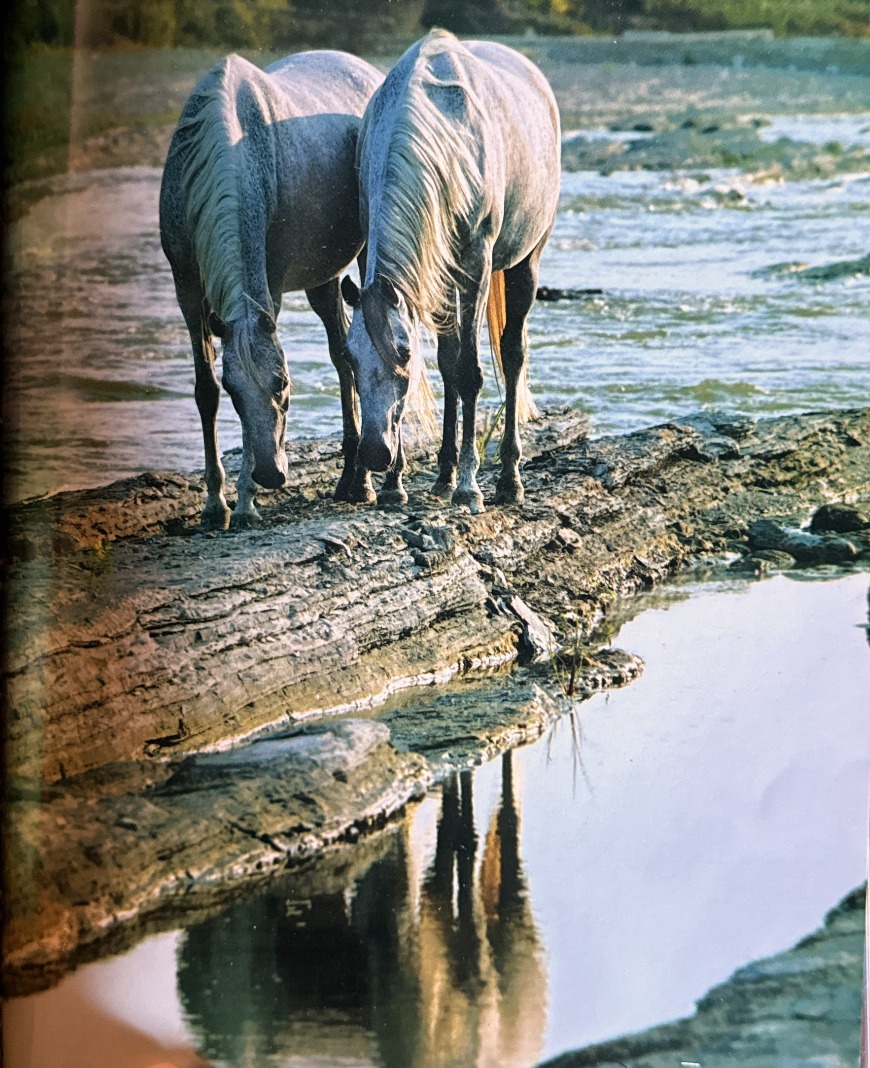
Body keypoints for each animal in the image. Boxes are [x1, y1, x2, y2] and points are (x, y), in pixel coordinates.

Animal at [160, 51, 383, 530]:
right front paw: (215, 504)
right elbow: (203, 390)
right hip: (322, 279)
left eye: (282, 383)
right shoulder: (185, 283)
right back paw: (350, 479)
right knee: (343, 357)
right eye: (234, 391)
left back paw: (362, 482)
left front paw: (244, 502)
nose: (269, 474)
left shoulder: (270, 283)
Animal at [340, 30, 560, 513]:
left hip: (526, 263)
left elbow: (469, 371)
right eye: (349, 356)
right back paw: (442, 475)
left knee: (512, 354)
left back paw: (508, 479)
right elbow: (445, 366)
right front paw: (398, 484)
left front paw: (469, 485)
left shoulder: (475, 266)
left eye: (403, 353)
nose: (374, 453)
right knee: (449, 361)